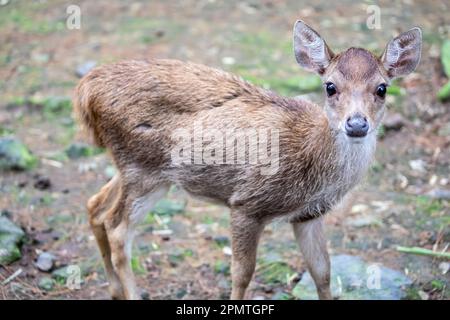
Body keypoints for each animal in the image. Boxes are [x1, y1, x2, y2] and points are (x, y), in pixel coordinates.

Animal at [74, 21, 422, 298]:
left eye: (382, 88)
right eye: (330, 86)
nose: (357, 124)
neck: (312, 162)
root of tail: (86, 89)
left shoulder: (309, 215)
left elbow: (323, 273)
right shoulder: (246, 203)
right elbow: (242, 274)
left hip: (136, 169)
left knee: (95, 206)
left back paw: (114, 290)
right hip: (144, 170)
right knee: (118, 229)